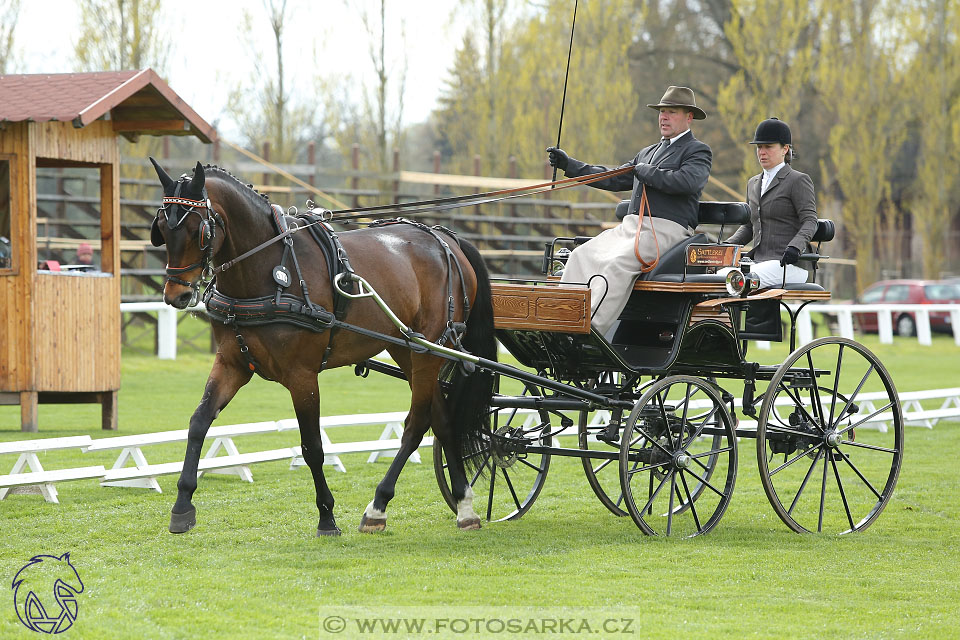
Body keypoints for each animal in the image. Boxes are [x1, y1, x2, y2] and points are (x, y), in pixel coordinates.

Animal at [152, 159, 496, 536]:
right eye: (162, 229)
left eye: (198, 231)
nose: (177, 295)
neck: (270, 266)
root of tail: (444, 238)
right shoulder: (232, 363)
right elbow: (199, 421)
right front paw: (182, 505)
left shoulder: (302, 375)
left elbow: (313, 447)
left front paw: (327, 517)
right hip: (409, 350)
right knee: (443, 420)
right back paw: (464, 506)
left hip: (430, 350)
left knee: (416, 424)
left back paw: (378, 506)